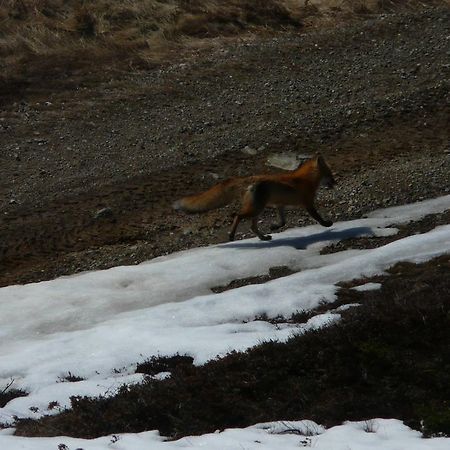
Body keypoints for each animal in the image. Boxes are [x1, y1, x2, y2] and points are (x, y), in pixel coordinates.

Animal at [174, 155, 336, 241]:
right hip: (255, 209)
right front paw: (326, 224)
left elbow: (283, 221)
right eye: (330, 175)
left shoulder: (280, 205)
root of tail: (249, 179)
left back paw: (263, 237)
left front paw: (274, 226)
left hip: (258, 210)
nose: (335, 183)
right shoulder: (308, 203)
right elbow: (318, 217)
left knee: (252, 226)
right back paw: (232, 235)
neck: (305, 180)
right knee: (238, 216)